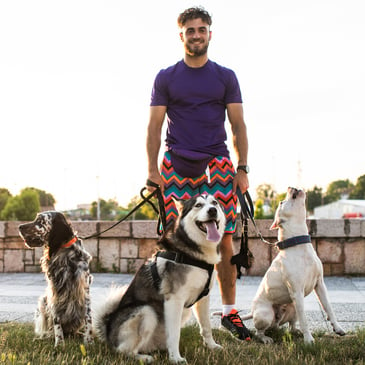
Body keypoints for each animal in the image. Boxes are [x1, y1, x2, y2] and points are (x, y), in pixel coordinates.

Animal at [18, 210, 92, 344]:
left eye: (40, 221)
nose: (19, 227)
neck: (65, 254)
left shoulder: (84, 291)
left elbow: (88, 319)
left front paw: (89, 342)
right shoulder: (55, 291)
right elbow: (57, 321)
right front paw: (59, 344)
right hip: (43, 301)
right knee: (48, 330)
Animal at [242, 186, 344, 342]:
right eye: (281, 202)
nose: (291, 187)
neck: (298, 244)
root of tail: (252, 311)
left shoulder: (320, 285)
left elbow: (329, 308)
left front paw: (338, 328)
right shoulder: (297, 291)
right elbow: (304, 320)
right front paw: (309, 340)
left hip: (292, 307)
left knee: (292, 324)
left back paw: (296, 332)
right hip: (266, 314)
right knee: (259, 331)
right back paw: (265, 338)